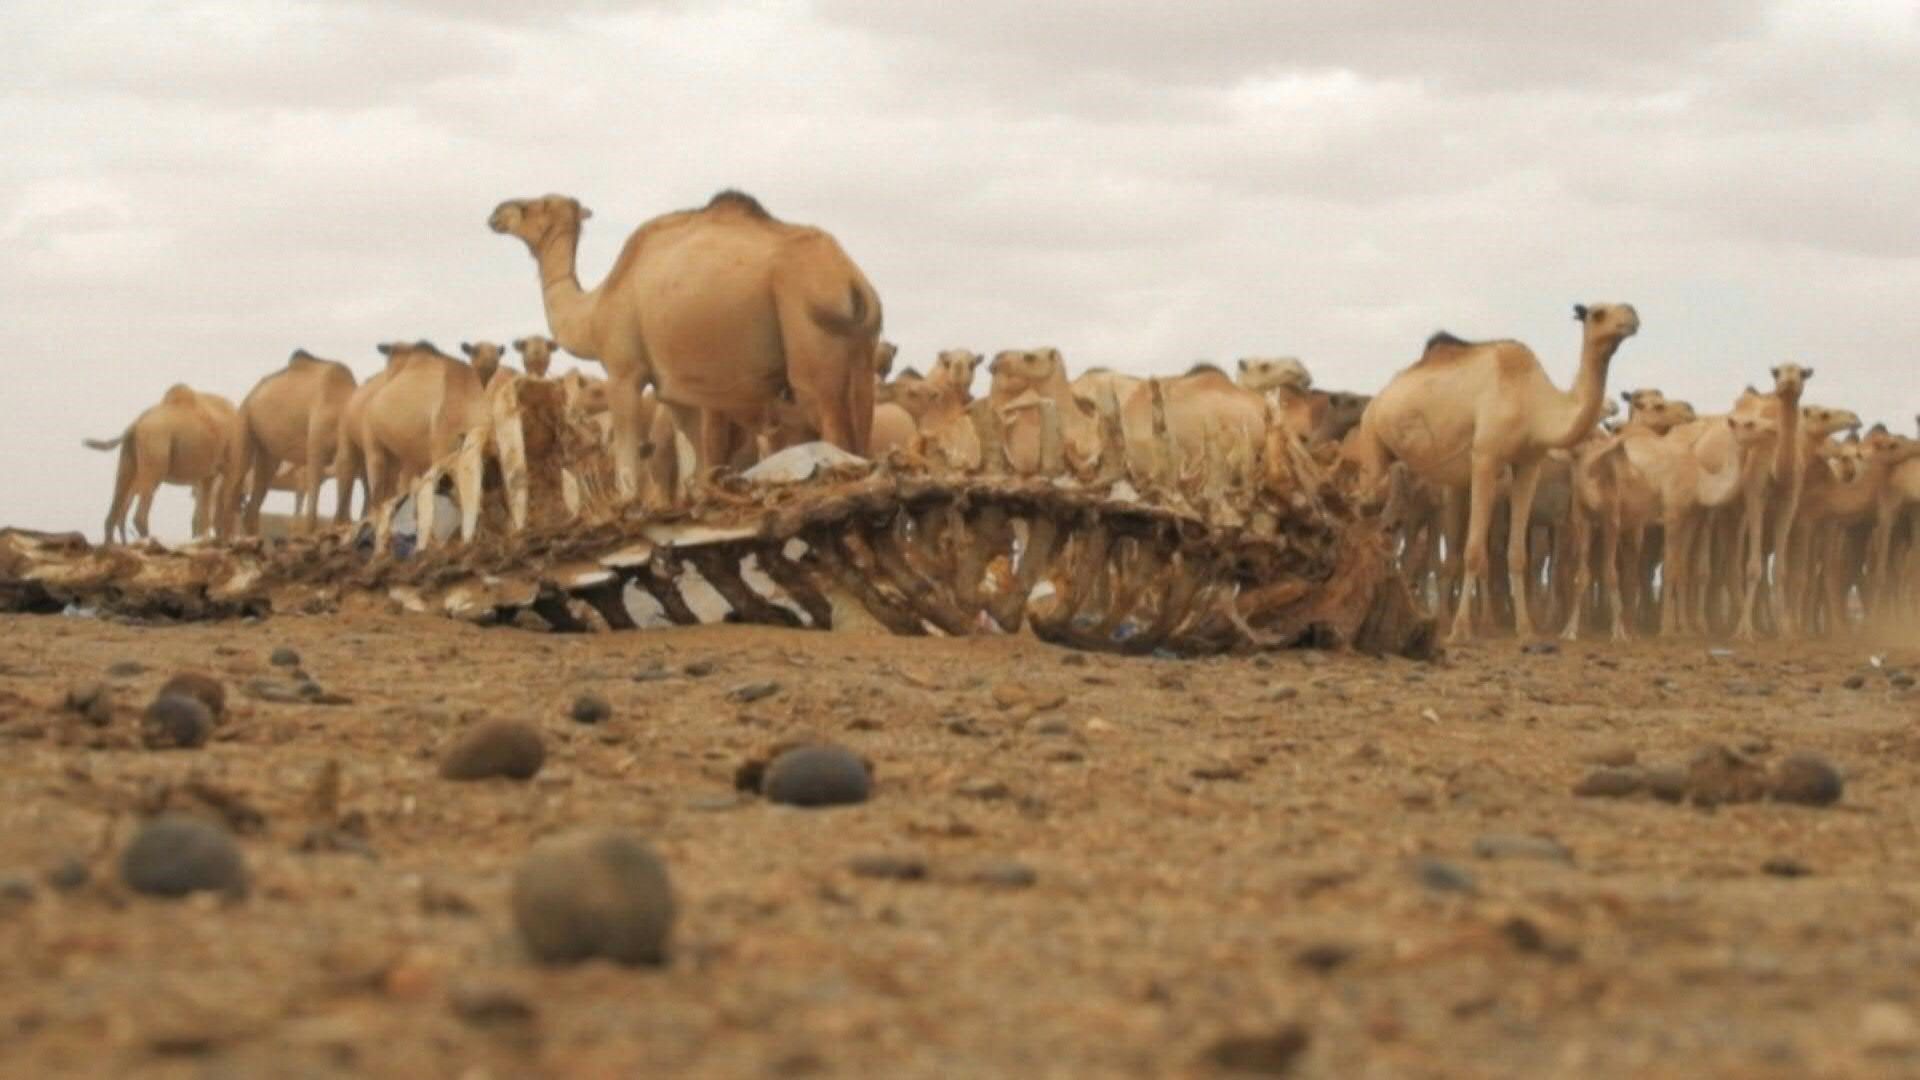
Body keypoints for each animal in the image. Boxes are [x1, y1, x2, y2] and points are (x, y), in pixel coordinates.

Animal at [226, 349, 359, 534]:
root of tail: (252, 393)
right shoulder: (316, 439)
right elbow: (315, 481)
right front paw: (310, 531)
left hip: (267, 450)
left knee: (257, 492)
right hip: (244, 421)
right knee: (234, 483)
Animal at [1344, 299, 1643, 638]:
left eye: (1626, 308)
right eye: (1597, 314)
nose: (1632, 317)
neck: (1534, 404)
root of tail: (1378, 397)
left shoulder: (1529, 463)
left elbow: (1517, 555)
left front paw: (1525, 629)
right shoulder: (1485, 457)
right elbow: (1474, 552)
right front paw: (1460, 629)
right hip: (1372, 440)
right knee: (1363, 507)